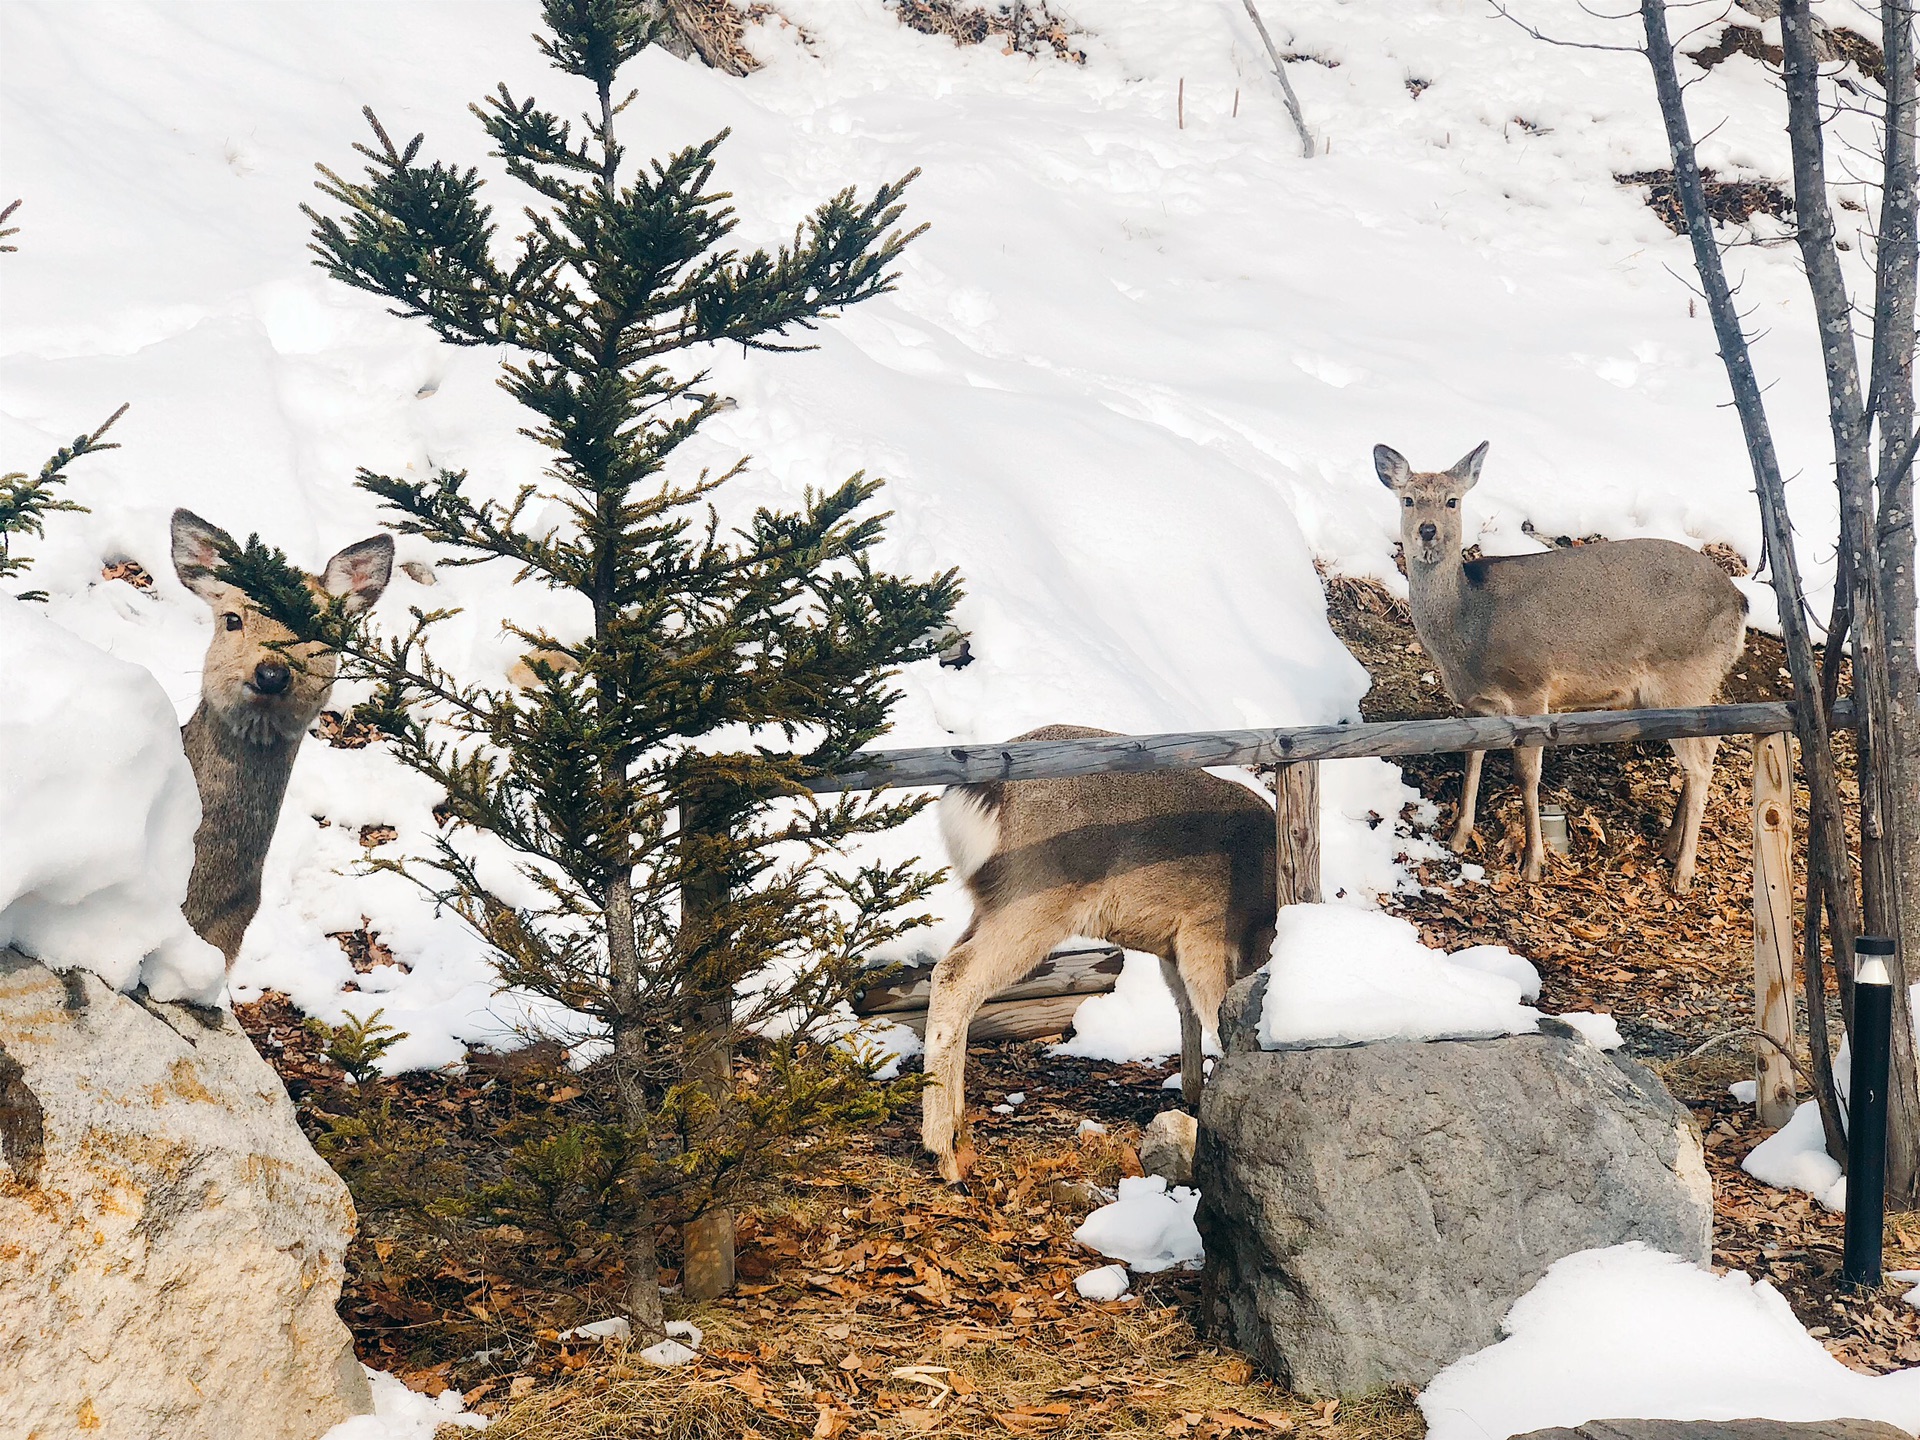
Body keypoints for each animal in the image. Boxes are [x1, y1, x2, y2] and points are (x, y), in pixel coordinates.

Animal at [925, 725, 1282, 1190]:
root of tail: (976, 797)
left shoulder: (1171, 947)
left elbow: (1185, 1010)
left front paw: (1194, 1097)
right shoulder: (1205, 932)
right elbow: (1215, 1017)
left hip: (989, 904)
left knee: (955, 977)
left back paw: (959, 1132)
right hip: (1034, 899)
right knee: (955, 975)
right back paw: (943, 1153)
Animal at [1374, 443, 1751, 890]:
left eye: (1453, 500)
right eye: (1408, 499)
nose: (1428, 530)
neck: (1468, 628)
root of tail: (1741, 602)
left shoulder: (1531, 689)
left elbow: (1526, 775)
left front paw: (1533, 862)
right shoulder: (1476, 703)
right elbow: (1473, 757)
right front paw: (1459, 837)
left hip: (1684, 679)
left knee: (1704, 757)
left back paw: (1683, 872)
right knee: (1705, 748)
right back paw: (1670, 845)